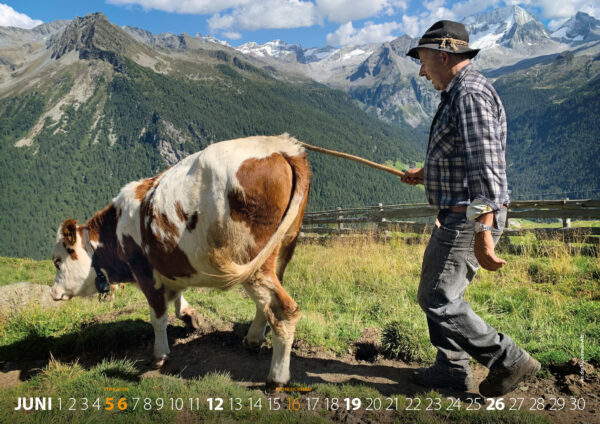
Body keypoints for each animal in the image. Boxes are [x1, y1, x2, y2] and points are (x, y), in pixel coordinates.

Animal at [50, 134, 310, 390]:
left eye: (57, 261)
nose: (53, 292)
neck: (116, 229)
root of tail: (281, 146)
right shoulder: (172, 263)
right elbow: (177, 295)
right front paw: (188, 315)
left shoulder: (146, 272)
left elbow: (158, 317)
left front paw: (159, 354)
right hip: (280, 251)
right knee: (266, 304)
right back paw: (253, 338)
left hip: (254, 260)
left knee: (283, 310)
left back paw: (276, 378)